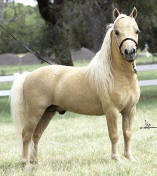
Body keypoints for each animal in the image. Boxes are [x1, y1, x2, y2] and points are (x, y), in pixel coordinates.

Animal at [10, 7, 140, 166]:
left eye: (137, 31)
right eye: (116, 32)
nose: (130, 52)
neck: (117, 76)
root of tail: (28, 75)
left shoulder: (129, 111)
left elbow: (127, 134)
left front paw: (129, 157)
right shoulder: (112, 111)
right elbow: (114, 135)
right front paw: (116, 158)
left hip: (47, 113)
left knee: (36, 135)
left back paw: (36, 162)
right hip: (35, 112)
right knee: (26, 134)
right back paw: (26, 163)